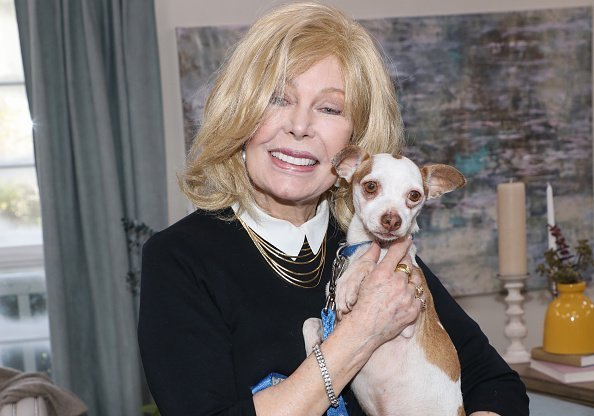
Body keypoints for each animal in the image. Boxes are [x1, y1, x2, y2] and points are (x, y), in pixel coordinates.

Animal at [302, 145, 464, 416]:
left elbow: (369, 263)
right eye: (371, 186)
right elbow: (310, 322)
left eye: (414, 195)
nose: (392, 219)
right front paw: (313, 347)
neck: (367, 244)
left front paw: (349, 283)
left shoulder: (409, 324)